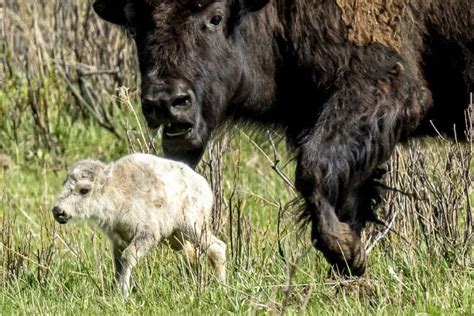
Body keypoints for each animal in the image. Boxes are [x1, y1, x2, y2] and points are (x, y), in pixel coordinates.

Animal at [52, 154, 227, 298]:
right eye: (64, 183)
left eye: (84, 190)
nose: (58, 211)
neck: (117, 191)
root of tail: (204, 186)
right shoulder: (119, 240)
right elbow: (118, 264)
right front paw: (113, 290)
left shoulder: (147, 234)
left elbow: (128, 257)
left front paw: (124, 293)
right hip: (176, 237)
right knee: (192, 256)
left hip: (193, 226)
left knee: (217, 247)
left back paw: (220, 286)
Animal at [91, 0, 470, 276]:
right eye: (134, 25)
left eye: (215, 17)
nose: (166, 102)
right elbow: (346, 194)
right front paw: (349, 264)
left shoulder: (383, 86)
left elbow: (313, 170)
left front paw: (346, 253)